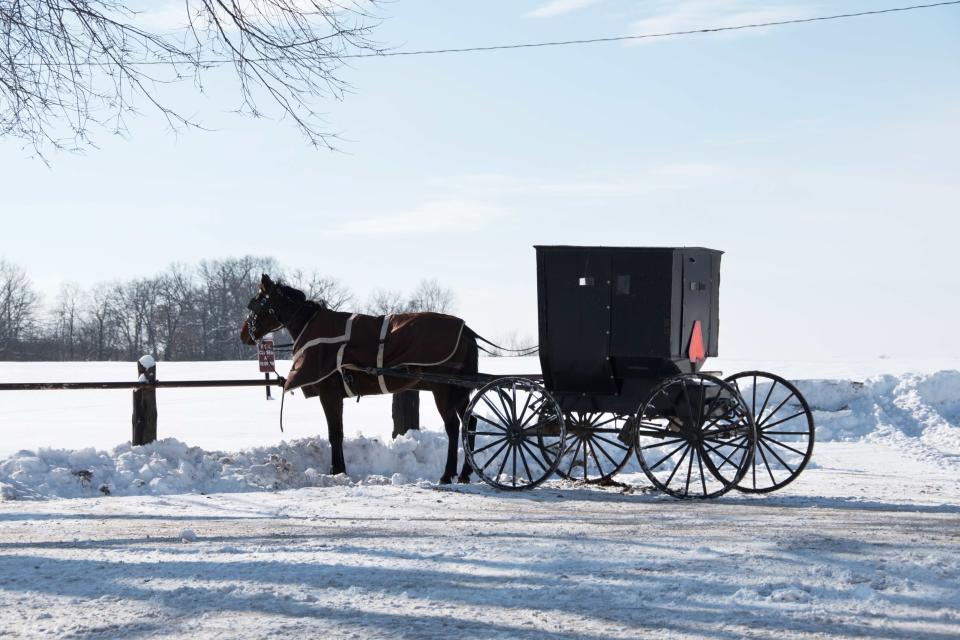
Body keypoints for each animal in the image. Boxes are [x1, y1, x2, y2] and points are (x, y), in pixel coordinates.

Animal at [242, 272, 478, 482]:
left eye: (256, 304)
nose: (244, 334)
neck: (312, 327)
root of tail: (466, 330)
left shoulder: (329, 394)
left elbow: (335, 433)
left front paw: (337, 469)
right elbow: (338, 432)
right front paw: (339, 468)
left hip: (443, 390)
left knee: (453, 426)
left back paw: (447, 474)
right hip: (457, 391)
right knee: (470, 423)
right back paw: (465, 473)